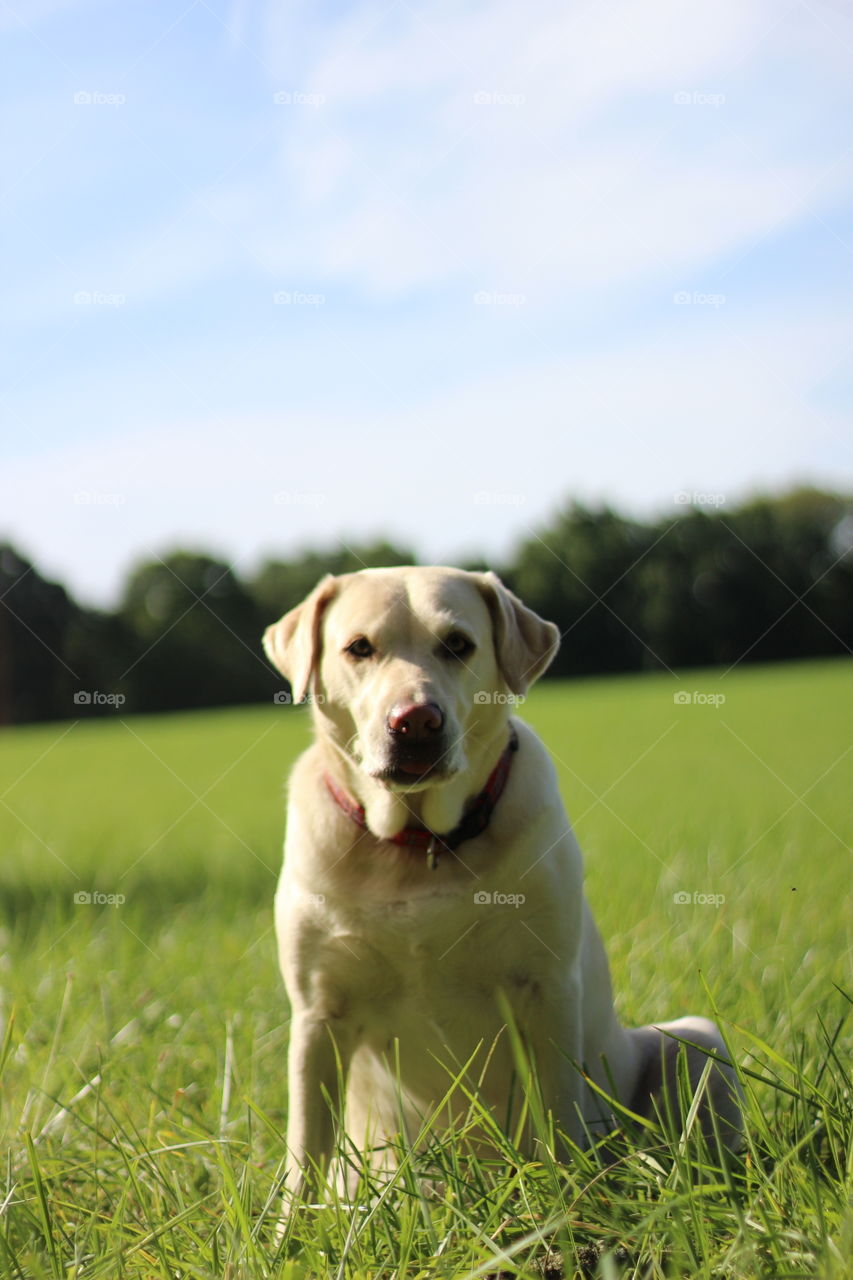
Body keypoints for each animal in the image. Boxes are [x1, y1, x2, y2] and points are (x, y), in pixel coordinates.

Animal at [262, 565, 742, 1203]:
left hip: (696, 1040)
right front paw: (292, 1225)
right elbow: (306, 1149)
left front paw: (573, 1203)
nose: (416, 721)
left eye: (458, 644)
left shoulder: (546, 988)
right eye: (359, 647)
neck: (419, 843)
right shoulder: (318, 1013)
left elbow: (559, 1115)